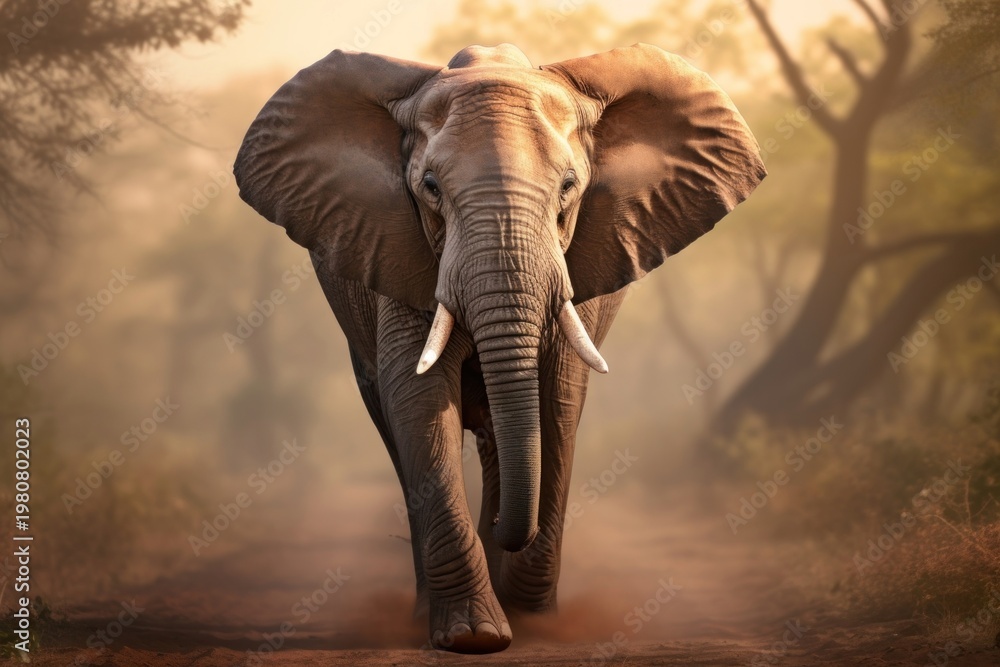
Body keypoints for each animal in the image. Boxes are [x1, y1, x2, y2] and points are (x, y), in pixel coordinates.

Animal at [234, 42, 764, 653]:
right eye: (431, 187)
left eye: (568, 186)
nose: (503, 532)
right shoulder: (397, 249)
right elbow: (418, 400)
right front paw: (473, 636)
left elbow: (557, 399)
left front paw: (534, 624)